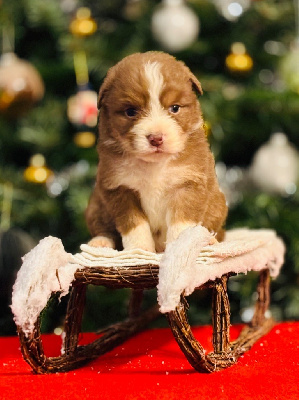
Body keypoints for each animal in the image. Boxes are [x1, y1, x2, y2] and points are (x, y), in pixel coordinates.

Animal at [85, 51, 226, 253]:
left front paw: (179, 247)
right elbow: (134, 224)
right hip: (96, 206)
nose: (156, 138)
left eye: (174, 108)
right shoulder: (119, 188)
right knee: (104, 228)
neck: (154, 165)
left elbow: (181, 223)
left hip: (218, 205)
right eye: (130, 111)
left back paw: (210, 241)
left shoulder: (188, 183)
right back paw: (100, 242)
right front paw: (140, 249)